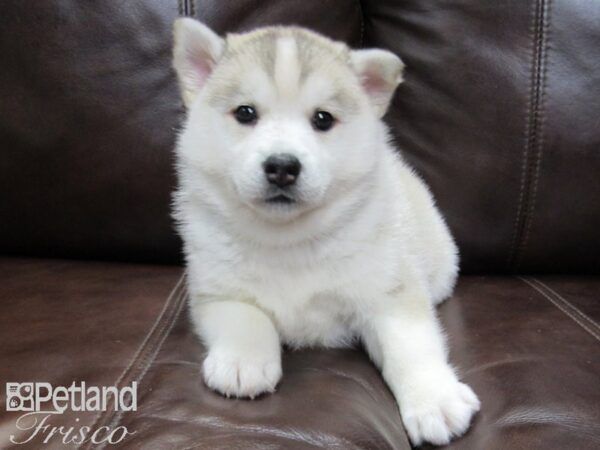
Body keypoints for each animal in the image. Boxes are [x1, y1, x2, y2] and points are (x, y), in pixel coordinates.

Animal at [171, 18, 480, 446]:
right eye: (245, 113)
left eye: (322, 119)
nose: (282, 166)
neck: (287, 238)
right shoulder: (216, 291)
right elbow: (246, 317)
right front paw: (241, 361)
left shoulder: (388, 292)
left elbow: (411, 346)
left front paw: (434, 398)